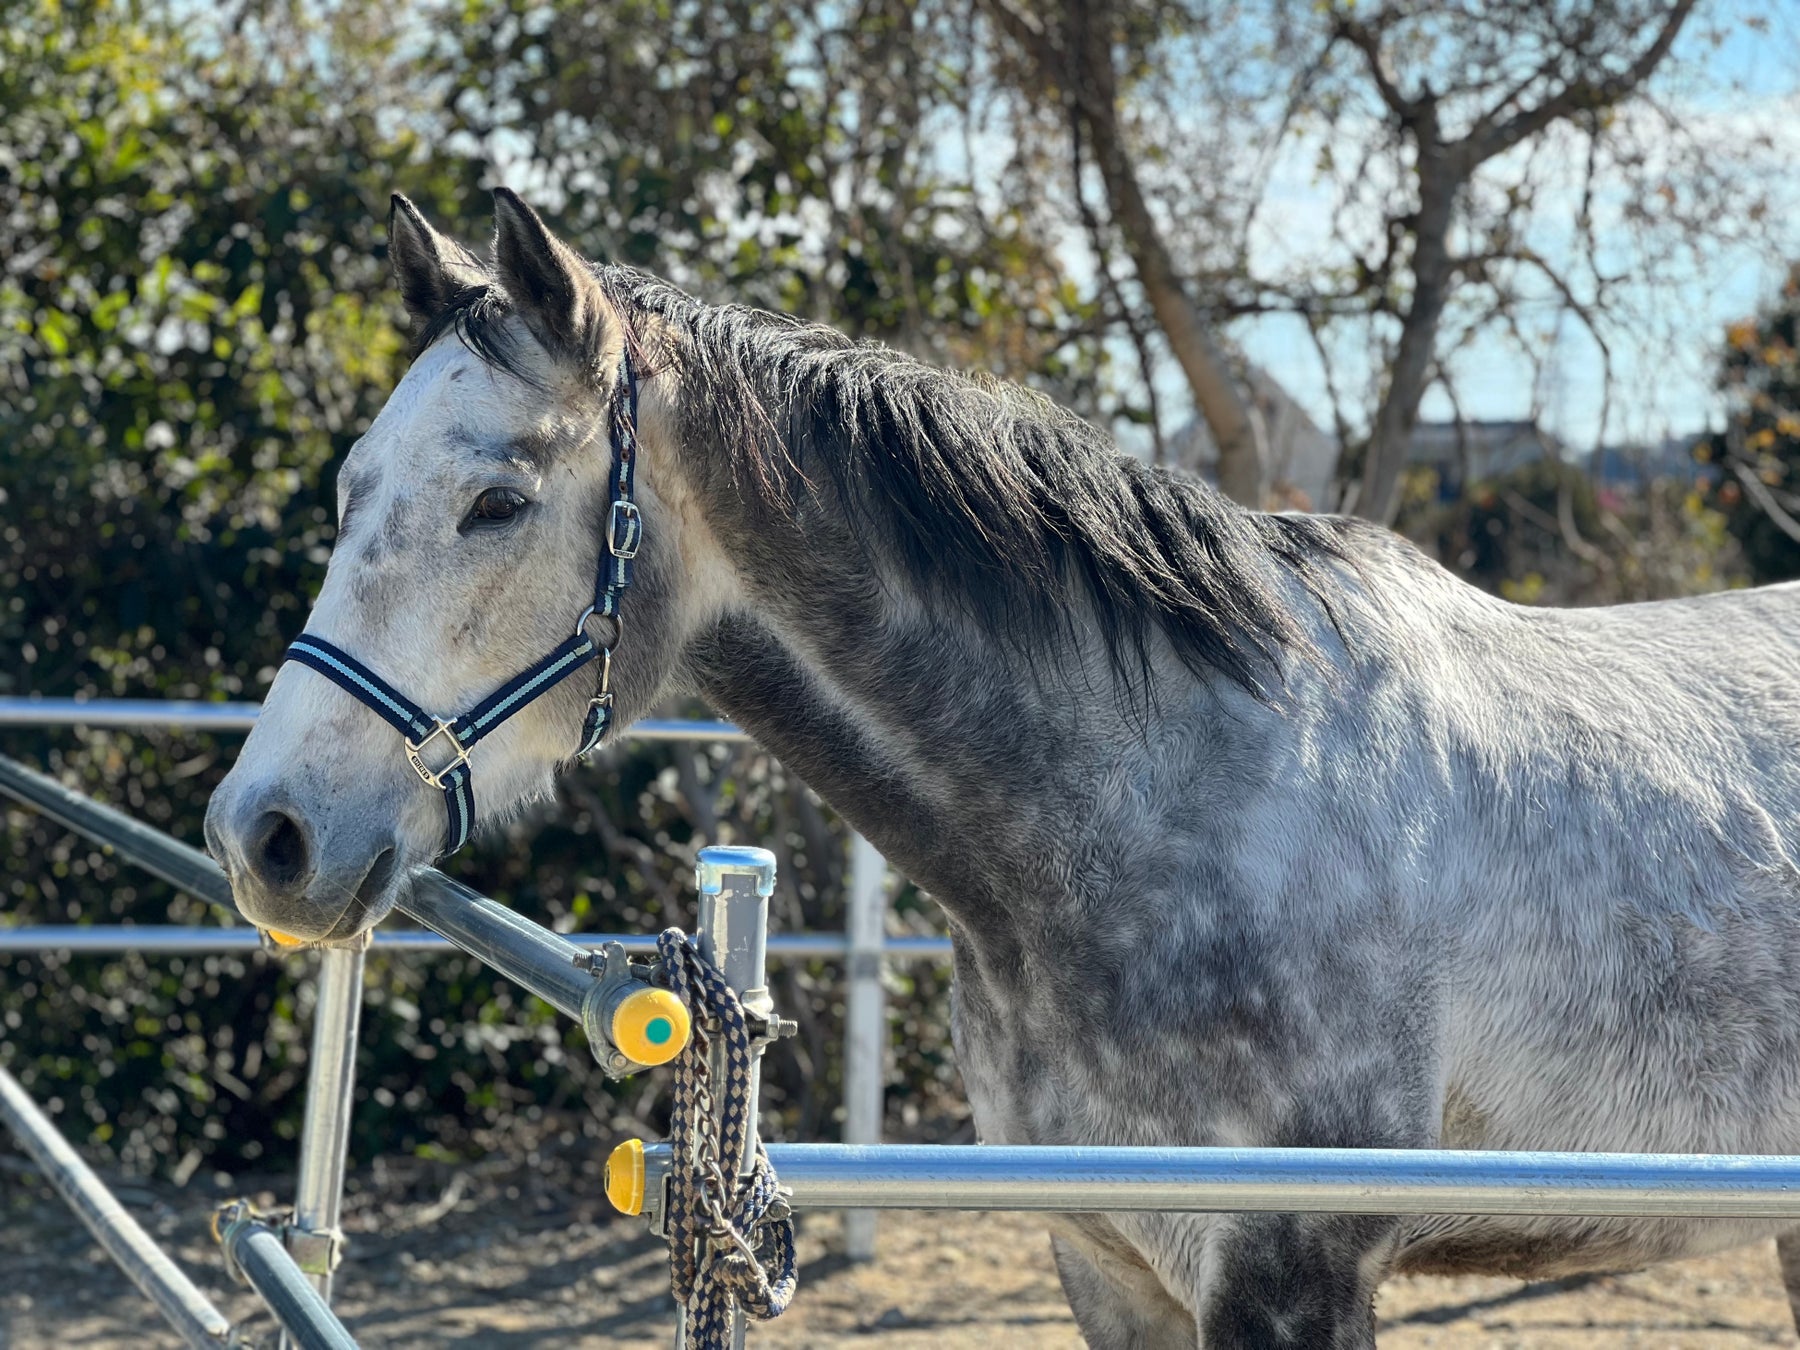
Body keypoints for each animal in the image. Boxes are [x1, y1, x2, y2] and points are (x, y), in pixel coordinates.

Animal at [207, 188, 1800, 1346]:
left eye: (496, 501)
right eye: (350, 486)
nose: (263, 835)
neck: (1174, 810)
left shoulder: (1292, 1269)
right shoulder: (1106, 1257)